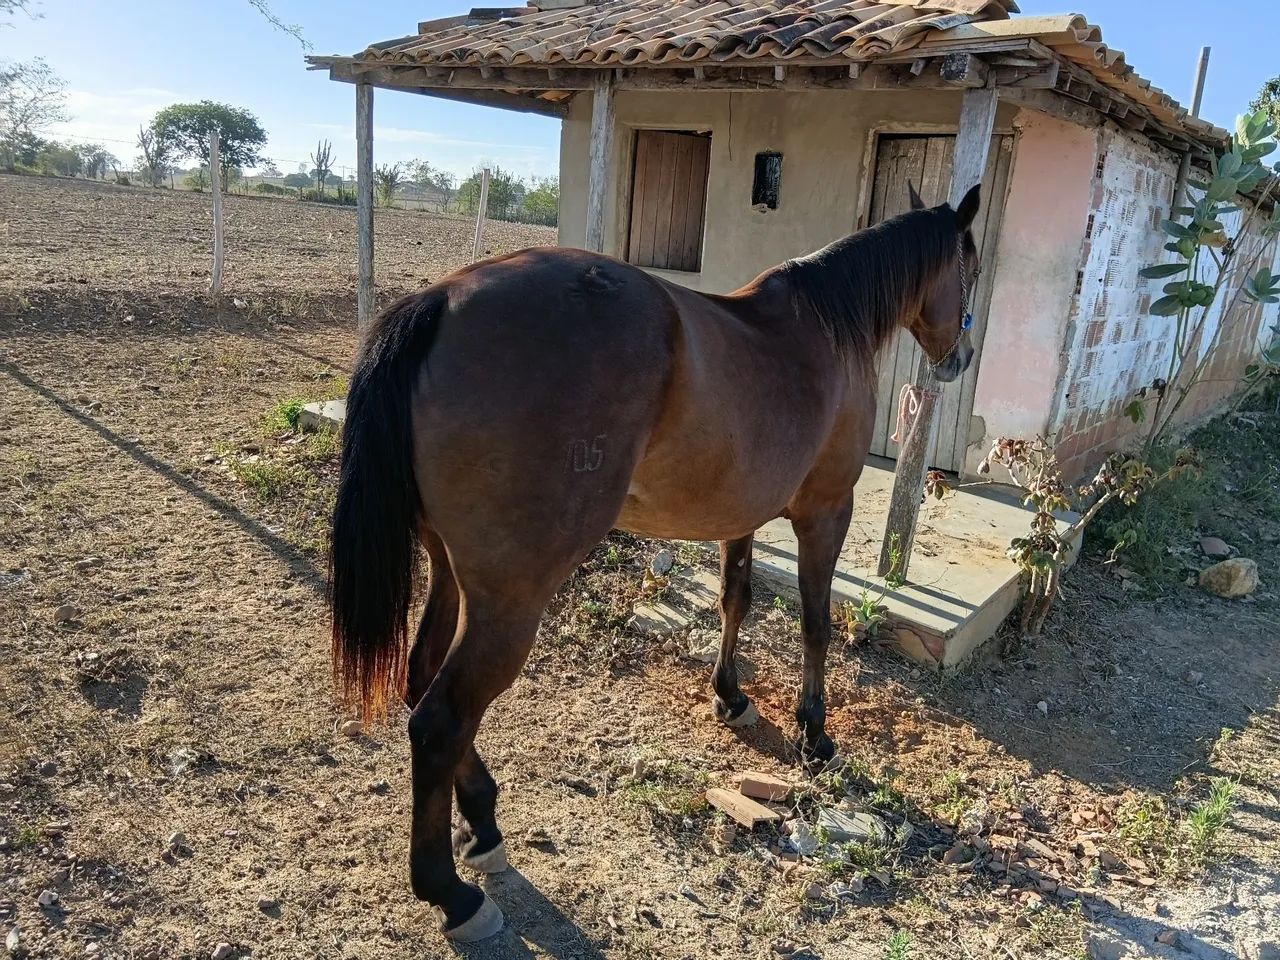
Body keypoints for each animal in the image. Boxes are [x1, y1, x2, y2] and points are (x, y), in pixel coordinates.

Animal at [329, 181, 983, 941]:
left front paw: (731, 696)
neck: (827, 328)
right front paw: (814, 732)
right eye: (970, 268)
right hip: (510, 600)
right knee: (440, 720)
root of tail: (441, 298)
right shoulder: (825, 512)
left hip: (454, 576)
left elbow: (735, 600)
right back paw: (451, 892)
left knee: (422, 676)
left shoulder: (740, 517)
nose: (962, 356)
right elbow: (815, 626)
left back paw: (483, 824)